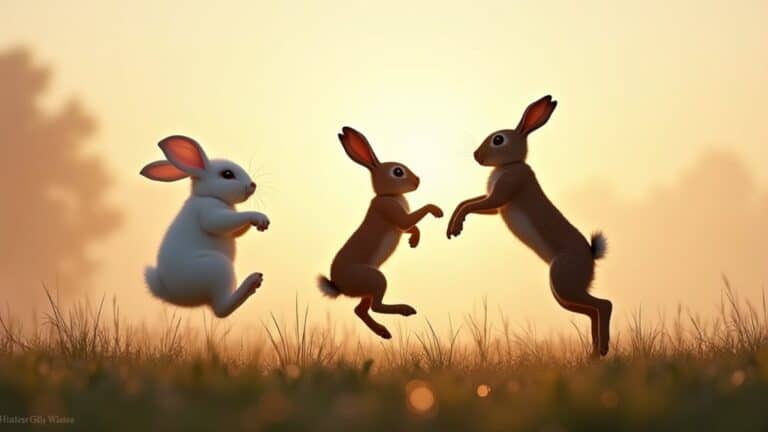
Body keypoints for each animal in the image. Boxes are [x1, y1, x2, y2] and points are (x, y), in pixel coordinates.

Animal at [140, 135, 270, 318]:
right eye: (227, 174)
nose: (253, 185)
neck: (210, 196)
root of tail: (171, 294)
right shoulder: (209, 212)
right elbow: (220, 222)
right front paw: (260, 218)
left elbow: (237, 230)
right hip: (217, 267)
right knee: (221, 309)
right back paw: (252, 282)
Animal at [318, 127, 444, 339]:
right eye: (398, 171)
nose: (417, 180)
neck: (388, 195)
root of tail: (338, 286)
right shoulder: (394, 214)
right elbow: (413, 219)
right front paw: (436, 211)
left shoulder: (400, 225)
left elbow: (411, 227)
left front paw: (414, 242)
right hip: (375, 279)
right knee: (375, 306)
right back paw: (406, 310)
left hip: (369, 287)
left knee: (360, 310)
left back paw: (383, 333)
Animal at [446, 96, 612, 357]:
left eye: (498, 139)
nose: (476, 155)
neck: (511, 164)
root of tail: (591, 255)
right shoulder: (494, 204)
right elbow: (467, 203)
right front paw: (454, 227)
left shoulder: (500, 195)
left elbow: (470, 204)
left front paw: (455, 227)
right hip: (562, 293)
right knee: (591, 311)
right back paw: (594, 354)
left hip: (563, 281)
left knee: (603, 305)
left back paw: (601, 350)